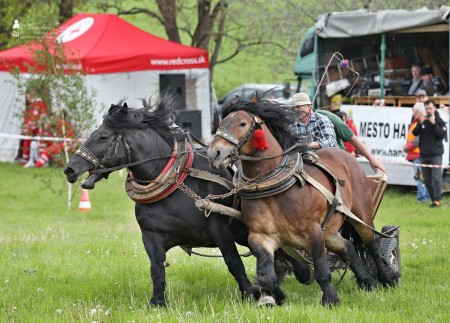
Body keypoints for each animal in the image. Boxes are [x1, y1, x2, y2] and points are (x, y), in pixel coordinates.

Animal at [63, 95, 312, 306]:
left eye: (103, 137)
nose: (70, 169)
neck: (177, 185)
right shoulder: (151, 236)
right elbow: (157, 269)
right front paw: (157, 302)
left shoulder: (219, 229)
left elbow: (233, 262)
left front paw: (250, 293)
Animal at [206, 98, 400, 306]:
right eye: (221, 122)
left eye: (242, 123)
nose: (214, 153)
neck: (273, 187)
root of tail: (348, 157)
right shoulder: (260, 236)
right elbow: (266, 275)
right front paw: (274, 296)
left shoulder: (313, 232)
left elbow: (322, 270)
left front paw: (330, 299)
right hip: (330, 231)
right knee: (348, 248)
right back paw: (368, 281)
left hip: (360, 215)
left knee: (373, 245)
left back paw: (388, 277)